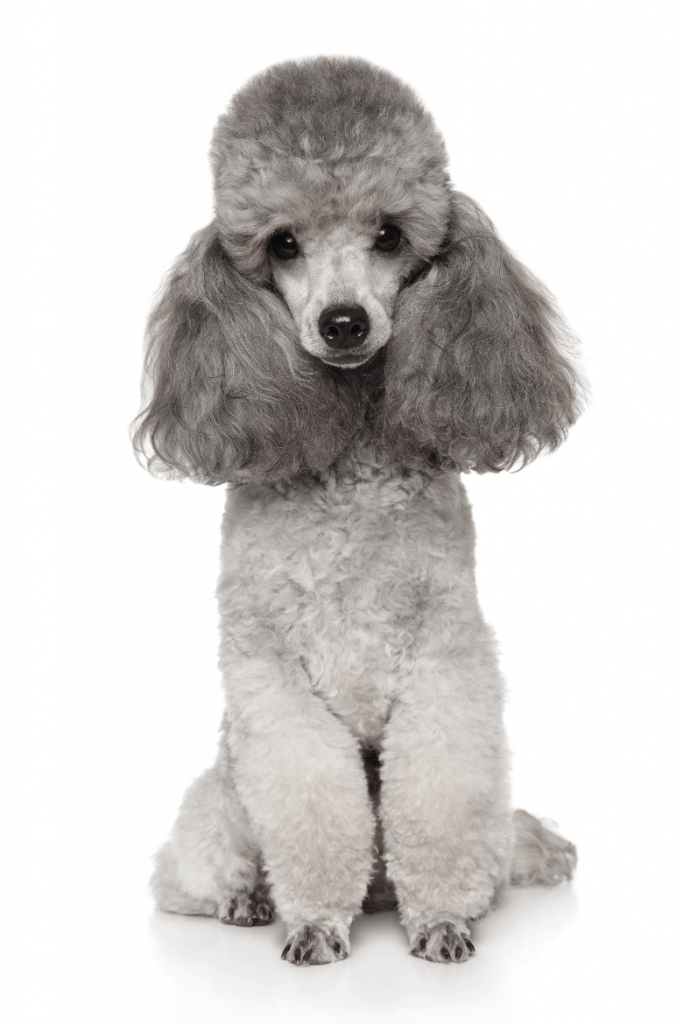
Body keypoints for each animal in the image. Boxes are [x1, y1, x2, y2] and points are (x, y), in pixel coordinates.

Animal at [133, 56, 581, 966]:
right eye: (283, 243)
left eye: (388, 236)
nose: (344, 322)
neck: (348, 465)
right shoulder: (269, 677)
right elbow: (311, 799)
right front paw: (312, 923)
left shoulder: (445, 659)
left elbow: (436, 798)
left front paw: (441, 920)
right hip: (218, 808)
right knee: (188, 877)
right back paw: (247, 903)